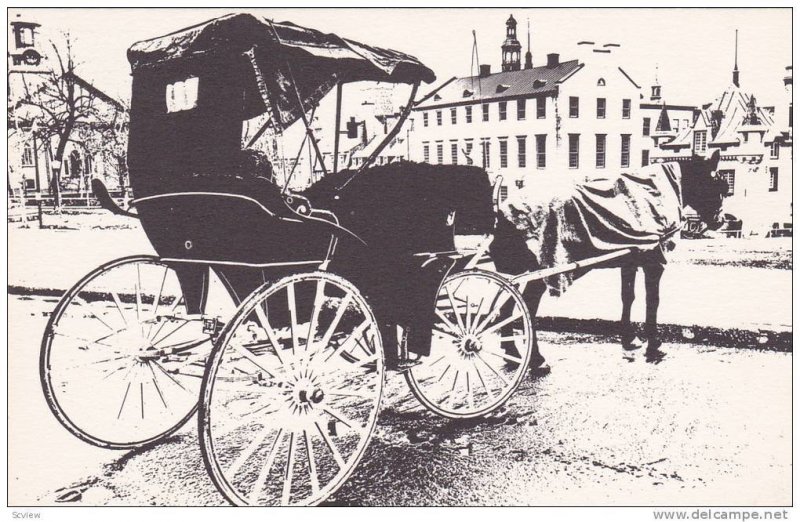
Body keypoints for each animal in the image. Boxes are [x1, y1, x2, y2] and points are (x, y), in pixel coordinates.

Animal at [490, 150, 728, 370]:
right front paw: (653, 345)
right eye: (718, 183)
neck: (655, 192)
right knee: (527, 310)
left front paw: (629, 338)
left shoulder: (629, 262)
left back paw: (512, 353)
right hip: (540, 275)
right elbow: (653, 301)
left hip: (515, 274)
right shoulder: (653, 261)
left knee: (506, 310)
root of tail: (502, 213)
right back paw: (535, 359)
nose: (721, 220)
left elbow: (628, 297)